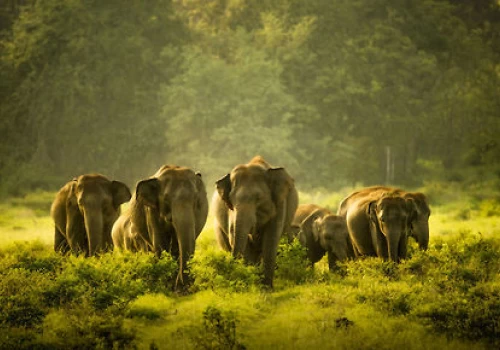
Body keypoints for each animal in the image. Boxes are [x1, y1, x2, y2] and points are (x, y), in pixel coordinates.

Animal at [211, 156, 296, 288]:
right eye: (231, 200)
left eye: (258, 198)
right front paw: (251, 284)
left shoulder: (280, 203)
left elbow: (271, 237)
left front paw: (266, 288)